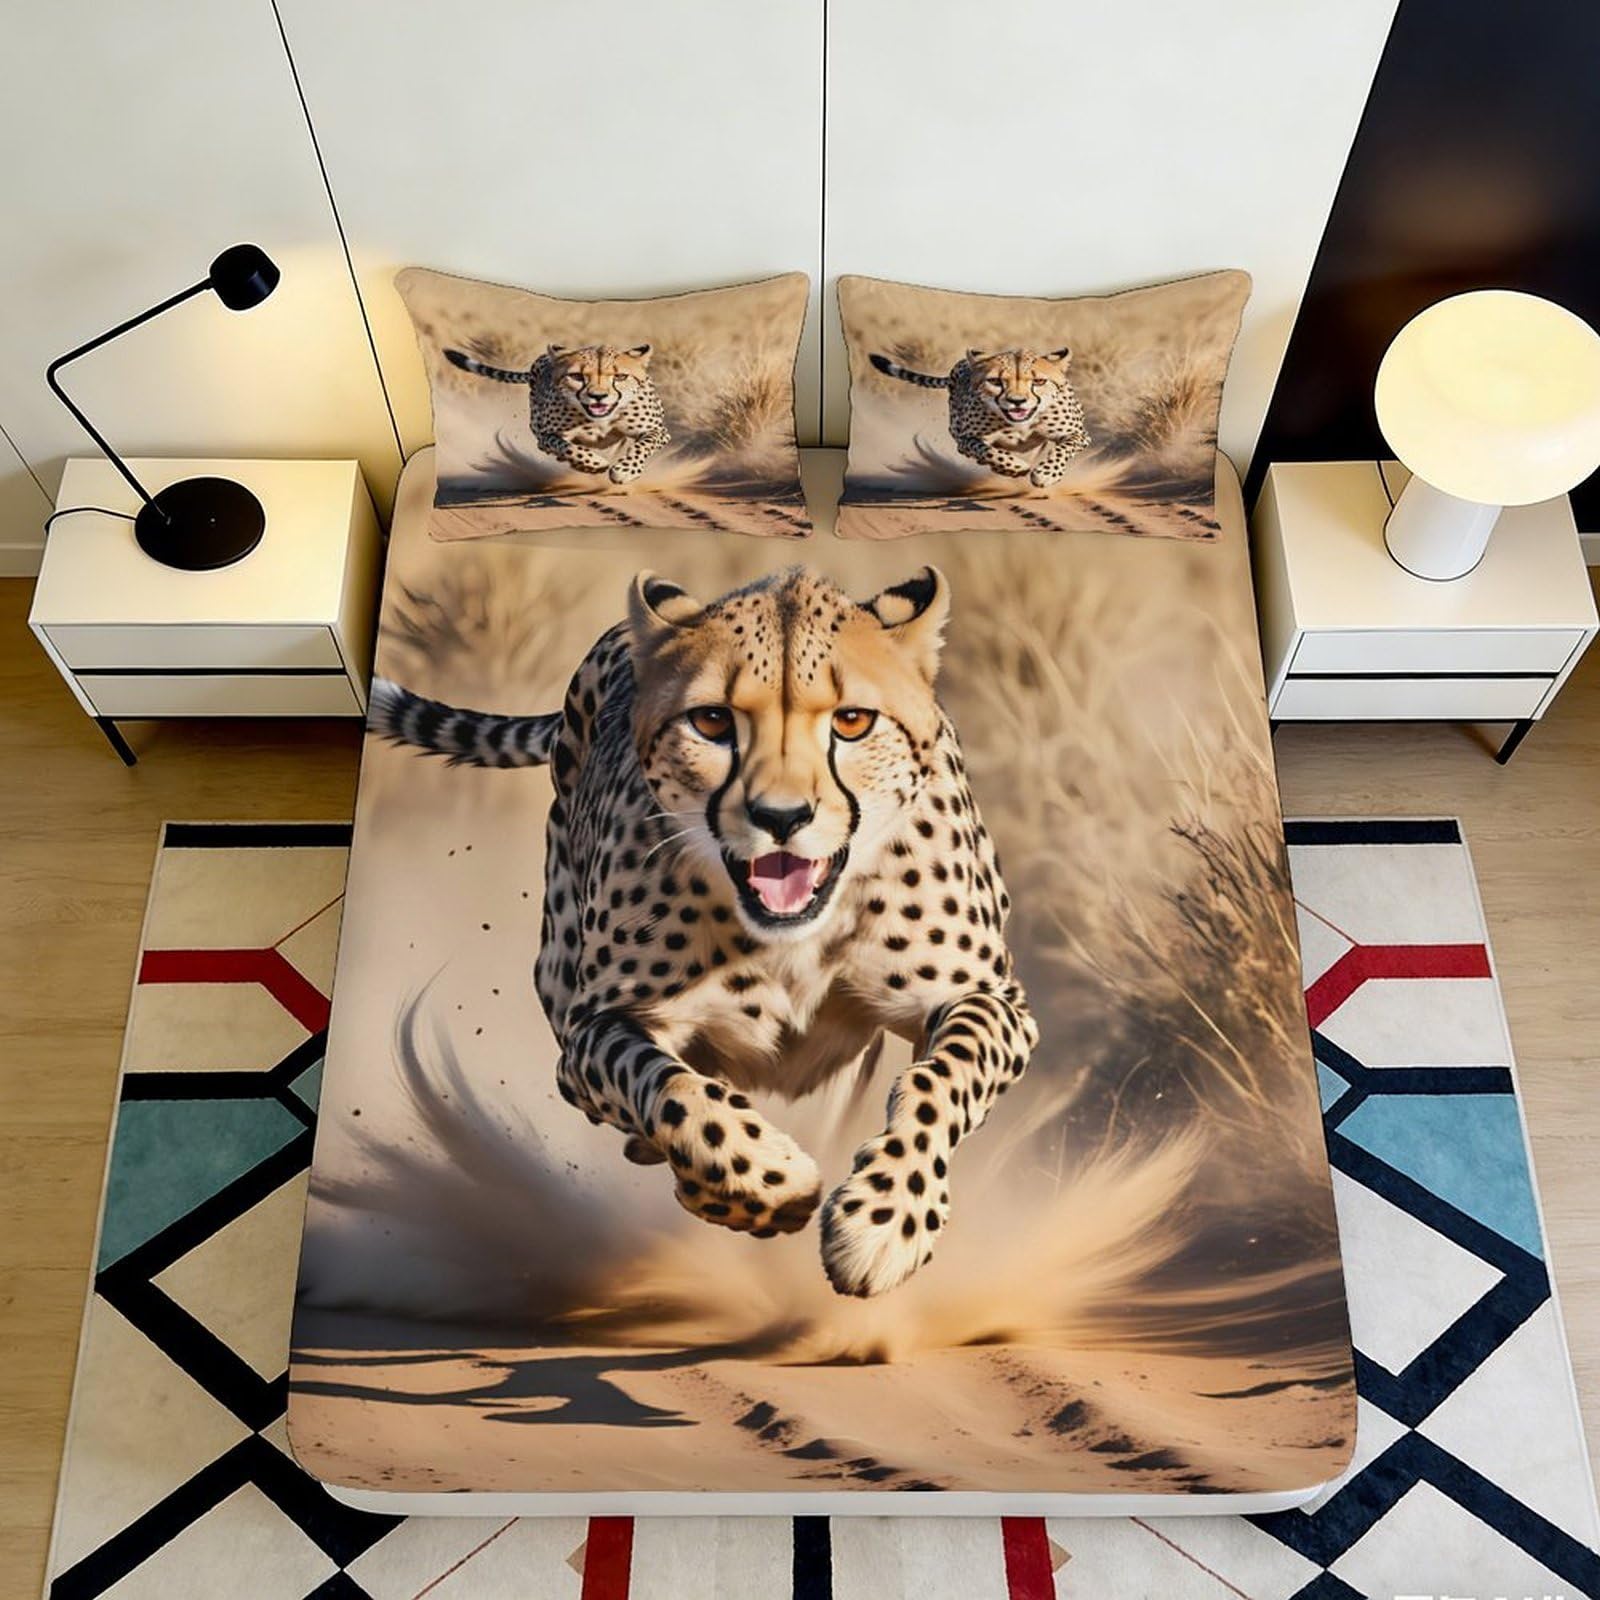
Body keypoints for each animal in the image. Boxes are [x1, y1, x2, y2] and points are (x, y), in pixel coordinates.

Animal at [369, 564, 1037, 1299]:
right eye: (712, 720)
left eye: (853, 721)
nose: (781, 816)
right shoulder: (595, 1028)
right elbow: (673, 1088)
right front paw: (767, 1181)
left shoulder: (987, 998)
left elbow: (942, 1079)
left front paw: (886, 1219)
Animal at [445, 342, 669, 484]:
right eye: (577, 376)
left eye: (620, 376)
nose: (598, 396)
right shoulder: (546, 437)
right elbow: (568, 448)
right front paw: (594, 463)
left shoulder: (659, 431)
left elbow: (643, 445)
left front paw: (625, 470)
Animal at [870, 346, 1090, 488]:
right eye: (995, 381)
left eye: (1038, 381)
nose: (1017, 401)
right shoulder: (965, 439)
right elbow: (988, 451)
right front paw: (1015, 466)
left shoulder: (1080, 435)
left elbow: (1063, 448)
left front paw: (1046, 474)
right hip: (955, 429)